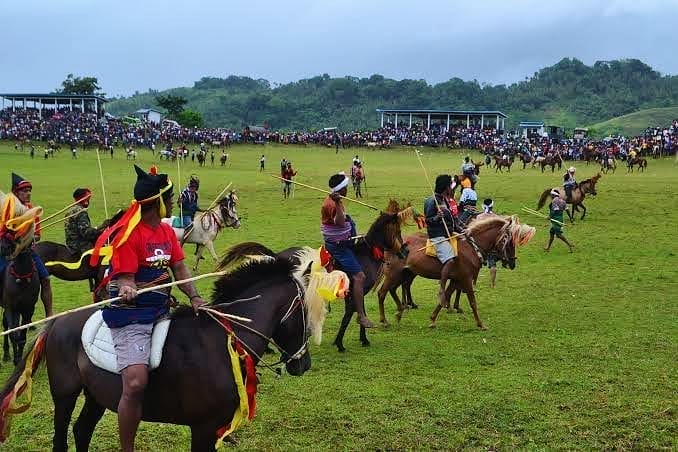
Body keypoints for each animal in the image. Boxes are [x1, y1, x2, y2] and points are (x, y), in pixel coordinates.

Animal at [0, 249, 326, 450]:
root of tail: (57, 322)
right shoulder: (203, 428)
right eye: (304, 312)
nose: (304, 364)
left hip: (96, 395)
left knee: (82, 431)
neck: (222, 343)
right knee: (63, 438)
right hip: (66, 395)